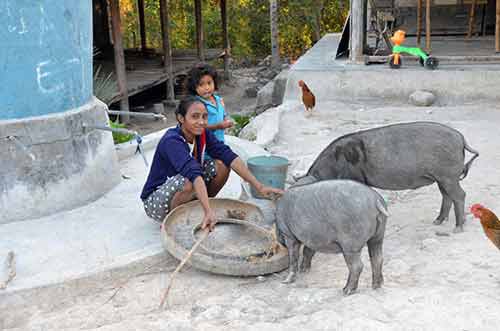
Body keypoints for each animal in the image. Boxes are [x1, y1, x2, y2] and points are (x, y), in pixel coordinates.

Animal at [294, 122, 478, 233]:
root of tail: (461, 138)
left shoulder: (355, 178)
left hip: (448, 175)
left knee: (459, 195)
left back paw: (458, 228)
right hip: (442, 177)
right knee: (447, 195)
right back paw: (438, 222)